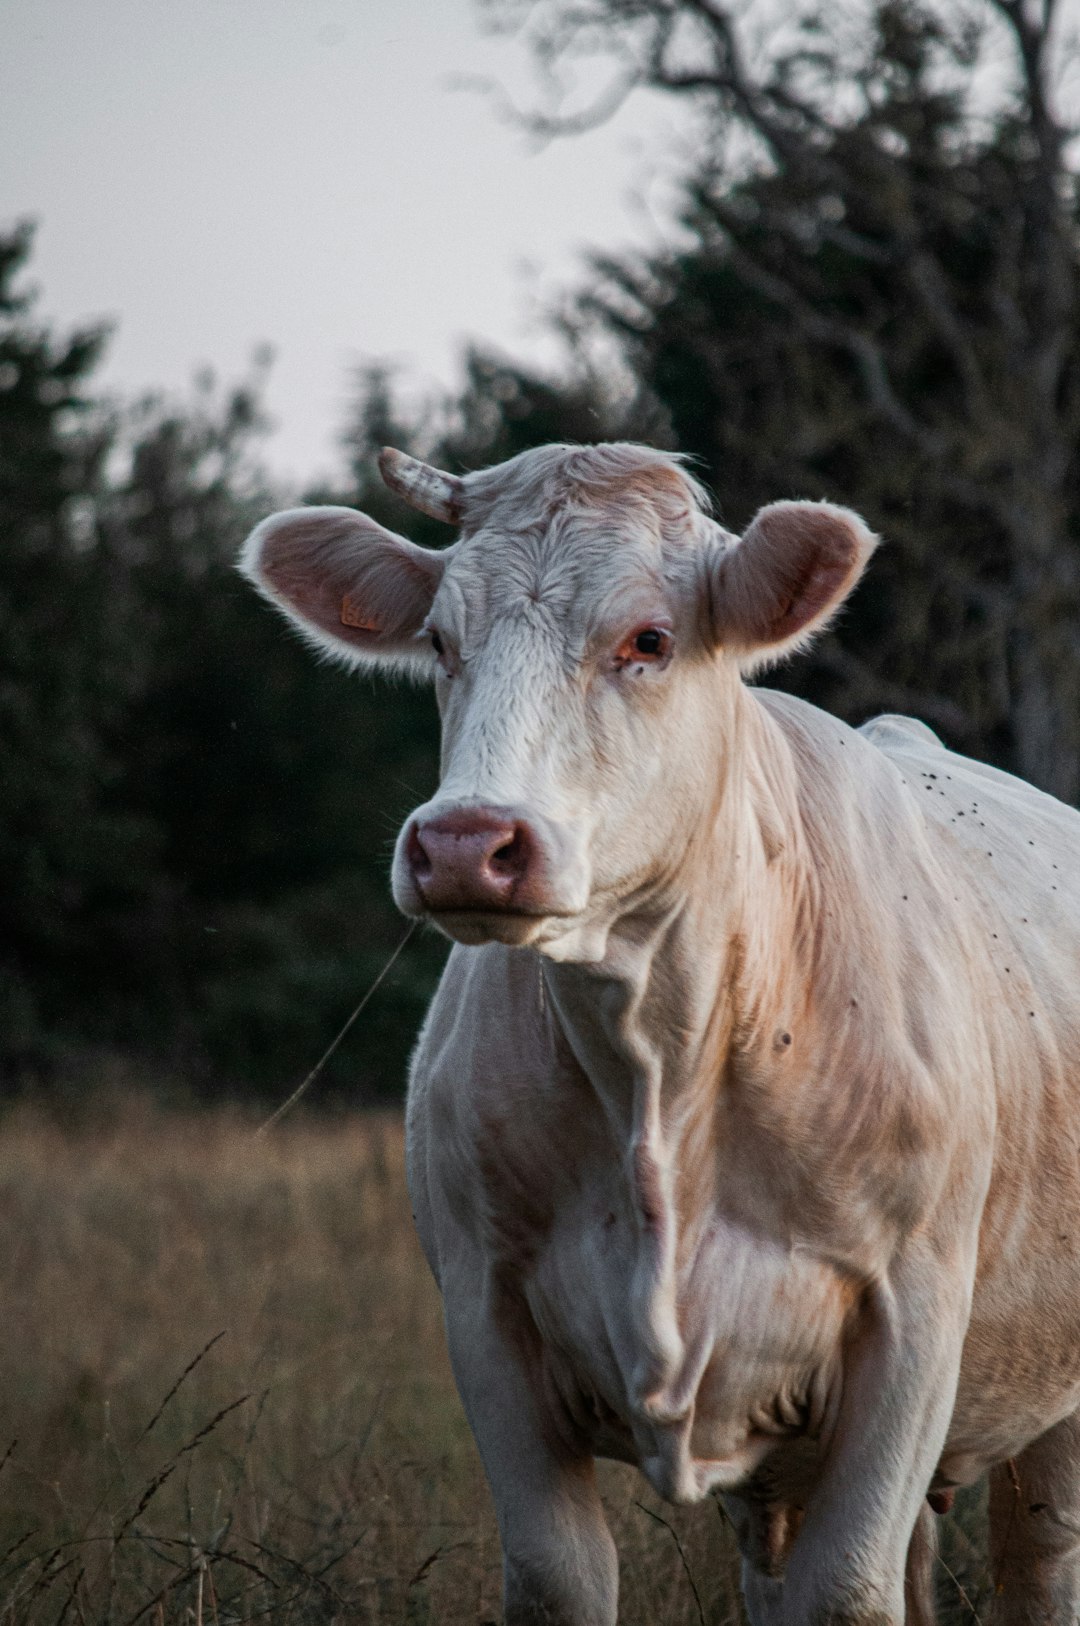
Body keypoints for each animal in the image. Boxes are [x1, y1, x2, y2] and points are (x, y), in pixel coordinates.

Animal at [240, 445, 1080, 1626]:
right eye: (441, 642)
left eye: (648, 639)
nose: (463, 844)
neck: (663, 1062)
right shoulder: (485, 1317)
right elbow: (561, 1579)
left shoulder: (913, 1322)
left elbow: (849, 1592)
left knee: (1038, 1563)